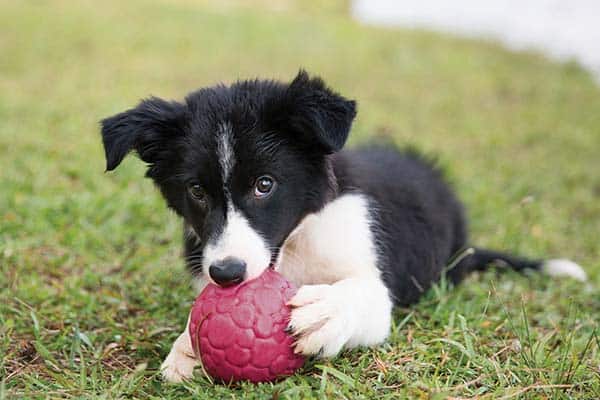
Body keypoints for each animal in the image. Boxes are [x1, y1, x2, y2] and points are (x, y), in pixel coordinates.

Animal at [99, 70, 584, 382]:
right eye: (197, 191)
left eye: (264, 185)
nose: (227, 274)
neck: (294, 244)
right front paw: (186, 347)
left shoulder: (368, 266)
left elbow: (365, 295)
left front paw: (328, 311)